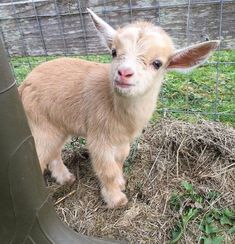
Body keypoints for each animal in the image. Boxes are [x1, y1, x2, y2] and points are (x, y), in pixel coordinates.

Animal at [18, 9, 220, 208]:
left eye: (157, 63)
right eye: (114, 52)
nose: (124, 73)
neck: (115, 106)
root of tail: (24, 84)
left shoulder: (122, 140)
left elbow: (120, 160)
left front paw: (120, 182)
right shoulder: (99, 138)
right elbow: (107, 170)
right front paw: (116, 199)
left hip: (57, 125)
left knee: (54, 151)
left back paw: (65, 177)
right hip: (40, 125)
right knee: (38, 154)